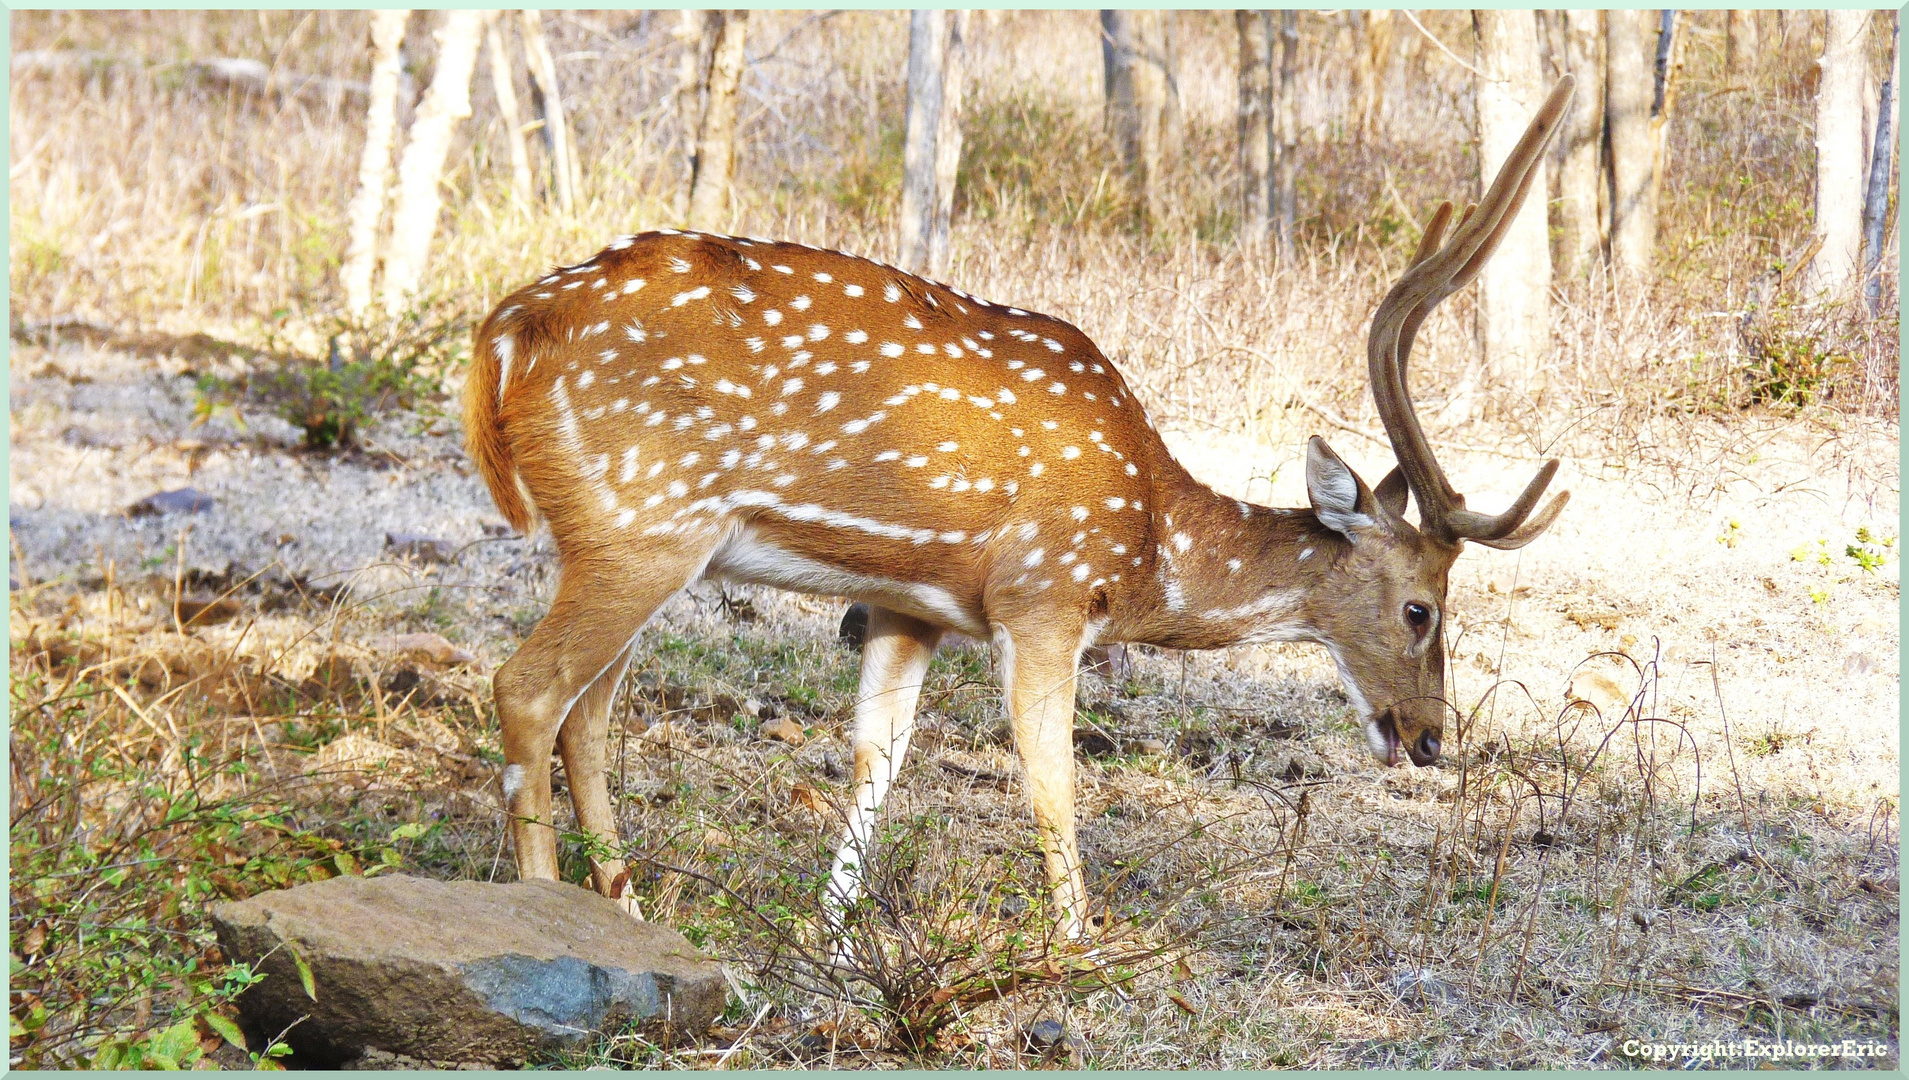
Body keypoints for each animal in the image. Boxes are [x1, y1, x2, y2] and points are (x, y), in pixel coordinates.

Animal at [469, 82, 1573, 931]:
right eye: (1421, 607)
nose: (1428, 739)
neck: (1149, 545)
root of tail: (508, 329)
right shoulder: (1043, 593)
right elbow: (1051, 777)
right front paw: (1079, 948)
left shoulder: (912, 604)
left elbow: (877, 757)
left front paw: (835, 945)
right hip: (640, 525)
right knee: (528, 688)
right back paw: (548, 911)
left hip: (638, 542)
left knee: (586, 712)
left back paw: (627, 909)